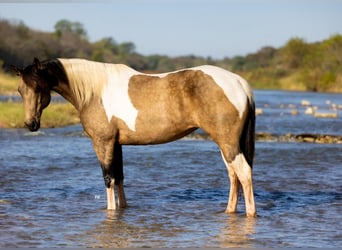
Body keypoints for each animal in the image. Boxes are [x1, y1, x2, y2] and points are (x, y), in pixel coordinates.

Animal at [11, 57, 256, 216]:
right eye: (21, 90)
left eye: (38, 87)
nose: (30, 124)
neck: (94, 92)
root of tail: (239, 83)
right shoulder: (117, 144)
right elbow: (119, 177)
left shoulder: (103, 142)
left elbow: (108, 178)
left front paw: (110, 211)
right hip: (227, 144)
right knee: (233, 175)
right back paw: (229, 211)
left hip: (227, 142)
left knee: (243, 173)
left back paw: (250, 214)